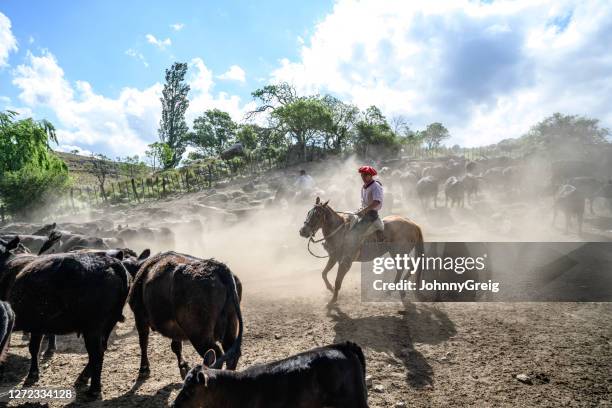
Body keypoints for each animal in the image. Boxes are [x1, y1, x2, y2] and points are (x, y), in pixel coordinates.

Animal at [8, 252, 133, 398]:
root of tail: (111, 262)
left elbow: (33, 348)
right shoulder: (38, 326)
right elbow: (34, 348)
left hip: (93, 329)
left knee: (97, 355)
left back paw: (93, 390)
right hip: (107, 325)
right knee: (100, 350)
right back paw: (83, 378)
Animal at [128, 252, 243, 380]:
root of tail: (217, 267)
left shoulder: (139, 317)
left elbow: (143, 342)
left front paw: (143, 368)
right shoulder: (175, 329)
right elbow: (176, 346)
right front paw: (183, 365)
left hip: (199, 335)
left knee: (216, 356)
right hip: (230, 325)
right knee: (230, 354)